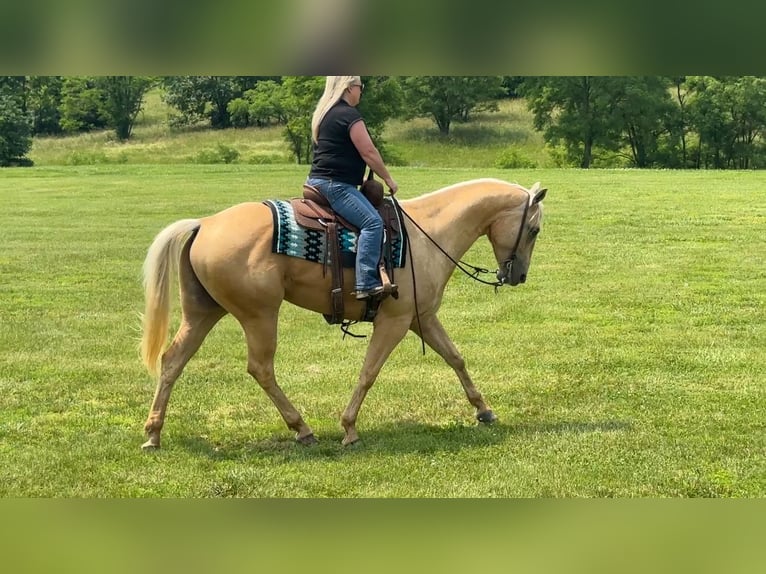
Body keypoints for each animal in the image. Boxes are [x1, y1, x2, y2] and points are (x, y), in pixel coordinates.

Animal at [140, 178, 546, 449]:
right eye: (534, 229)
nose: (518, 276)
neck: (428, 235)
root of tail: (204, 224)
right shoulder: (395, 322)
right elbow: (369, 372)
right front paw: (349, 427)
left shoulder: (422, 317)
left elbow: (455, 358)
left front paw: (484, 410)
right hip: (259, 315)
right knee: (261, 369)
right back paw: (302, 427)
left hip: (203, 312)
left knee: (172, 360)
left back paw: (153, 433)